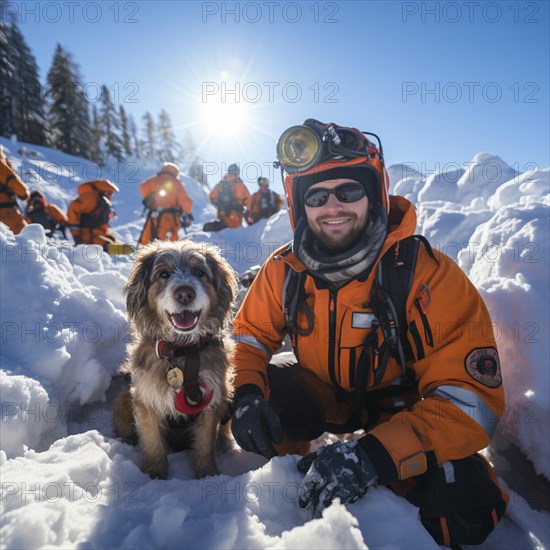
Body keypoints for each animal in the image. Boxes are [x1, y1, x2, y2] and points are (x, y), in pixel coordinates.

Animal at [113, 240, 238, 478]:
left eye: (200, 272)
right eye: (164, 273)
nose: (185, 294)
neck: (182, 350)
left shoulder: (213, 398)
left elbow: (205, 443)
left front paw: (208, 475)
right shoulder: (147, 399)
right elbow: (153, 440)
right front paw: (154, 474)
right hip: (125, 395)